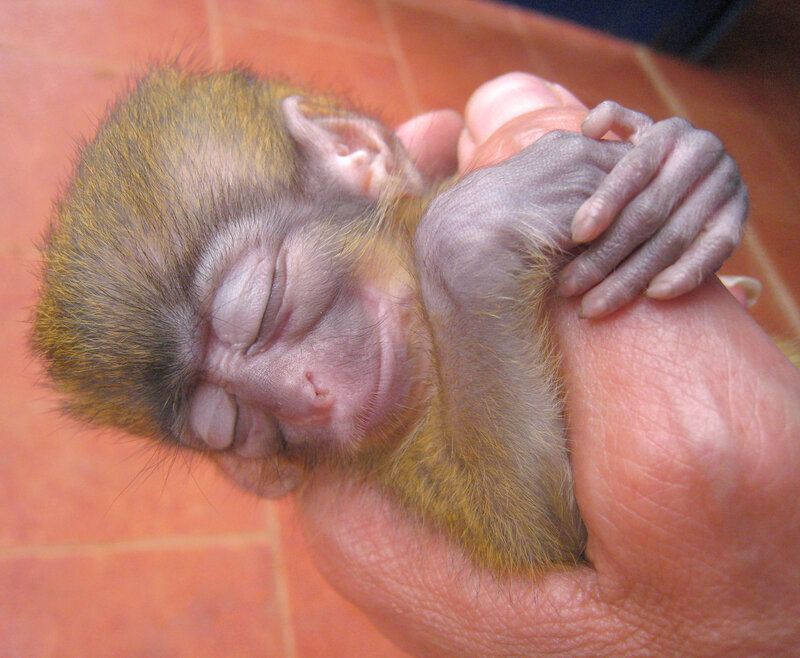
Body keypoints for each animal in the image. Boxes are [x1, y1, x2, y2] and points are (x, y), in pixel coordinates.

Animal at [32, 66, 748, 574]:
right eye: (227, 422)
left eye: (265, 304)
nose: (306, 396)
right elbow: (542, 523)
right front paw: (473, 227)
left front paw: (692, 168)